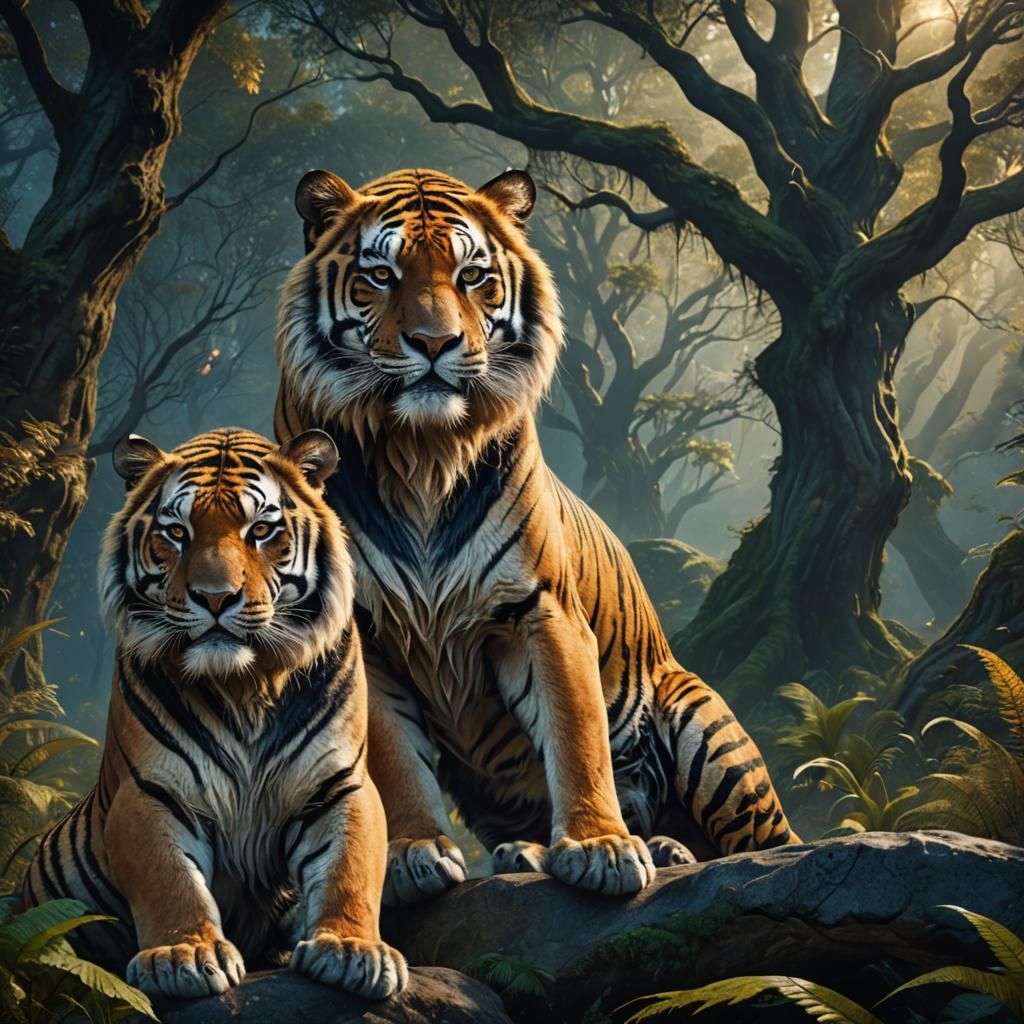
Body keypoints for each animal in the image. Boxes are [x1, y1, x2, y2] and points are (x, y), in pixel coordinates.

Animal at [22, 428, 406, 1000]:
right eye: (177, 533)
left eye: (262, 530)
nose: (215, 597)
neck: (243, 686)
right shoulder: (150, 792)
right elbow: (169, 878)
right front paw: (184, 956)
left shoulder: (339, 785)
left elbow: (350, 867)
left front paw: (352, 950)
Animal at [274, 167, 800, 903]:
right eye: (380, 275)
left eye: (471, 276)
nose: (433, 344)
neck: (422, 454)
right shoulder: (367, 633)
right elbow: (393, 757)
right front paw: (412, 854)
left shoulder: (541, 608)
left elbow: (576, 734)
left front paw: (601, 848)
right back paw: (534, 851)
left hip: (703, 723)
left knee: (767, 843)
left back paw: (662, 847)